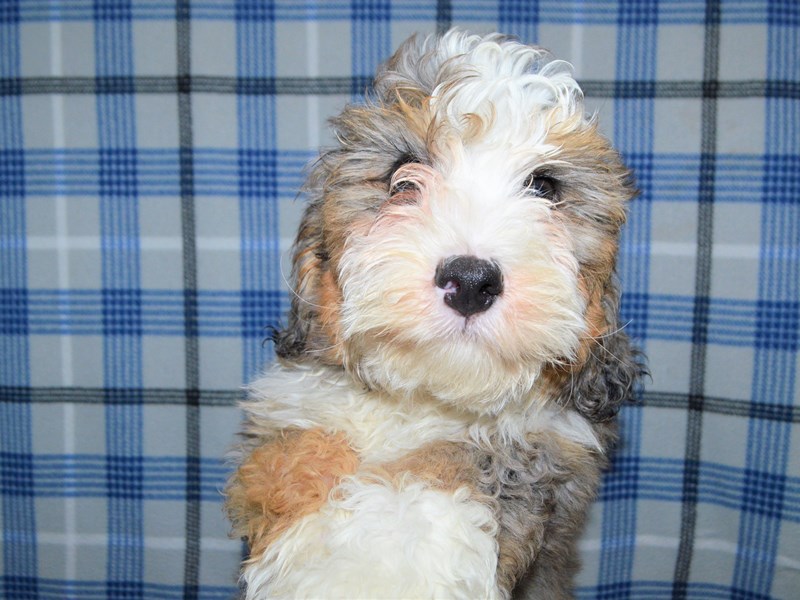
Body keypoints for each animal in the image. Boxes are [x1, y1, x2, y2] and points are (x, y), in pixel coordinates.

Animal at [227, 29, 644, 600]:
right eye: (402, 176)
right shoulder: (299, 409)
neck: (422, 397)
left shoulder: (541, 449)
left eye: (545, 187)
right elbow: (298, 457)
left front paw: (378, 567)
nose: (470, 281)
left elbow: (455, 464)